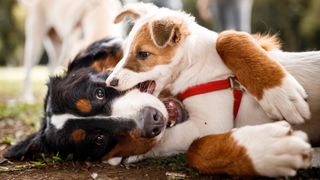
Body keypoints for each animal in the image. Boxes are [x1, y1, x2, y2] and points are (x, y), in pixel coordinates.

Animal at [105, 3, 320, 177]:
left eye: (143, 54)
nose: (110, 82)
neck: (193, 65)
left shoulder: (211, 123)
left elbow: (226, 37)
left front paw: (281, 94)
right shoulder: (205, 125)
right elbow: (189, 145)